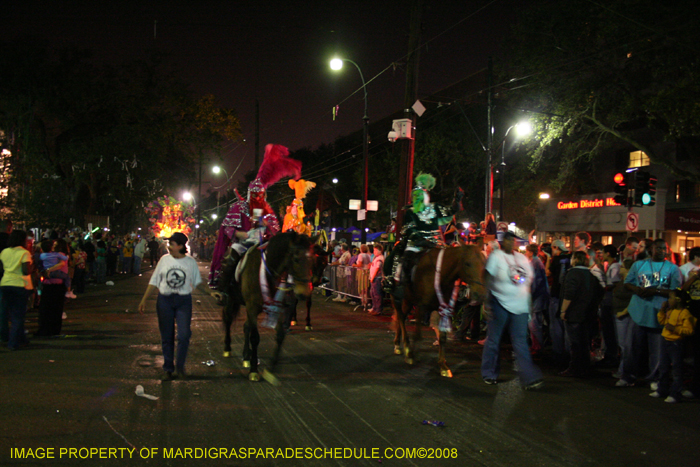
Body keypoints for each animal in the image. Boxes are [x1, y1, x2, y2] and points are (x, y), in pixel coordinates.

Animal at [220, 231, 314, 384]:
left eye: (312, 259)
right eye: (295, 259)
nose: (304, 293)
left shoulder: (276, 307)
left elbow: (280, 335)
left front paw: (270, 369)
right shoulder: (252, 307)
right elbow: (255, 338)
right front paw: (254, 371)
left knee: (246, 326)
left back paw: (246, 356)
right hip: (231, 300)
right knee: (228, 320)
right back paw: (227, 348)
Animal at [388, 247, 486, 378]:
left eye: (483, 263)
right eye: (468, 263)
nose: (480, 294)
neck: (438, 274)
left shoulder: (443, 309)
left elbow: (442, 338)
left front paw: (443, 366)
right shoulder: (421, 307)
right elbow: (418, 334)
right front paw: (411, 355)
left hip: (407, 301)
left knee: (401, 318)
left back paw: (398, 344)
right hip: (398, 298)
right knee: (400, 317)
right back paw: (407, 349)